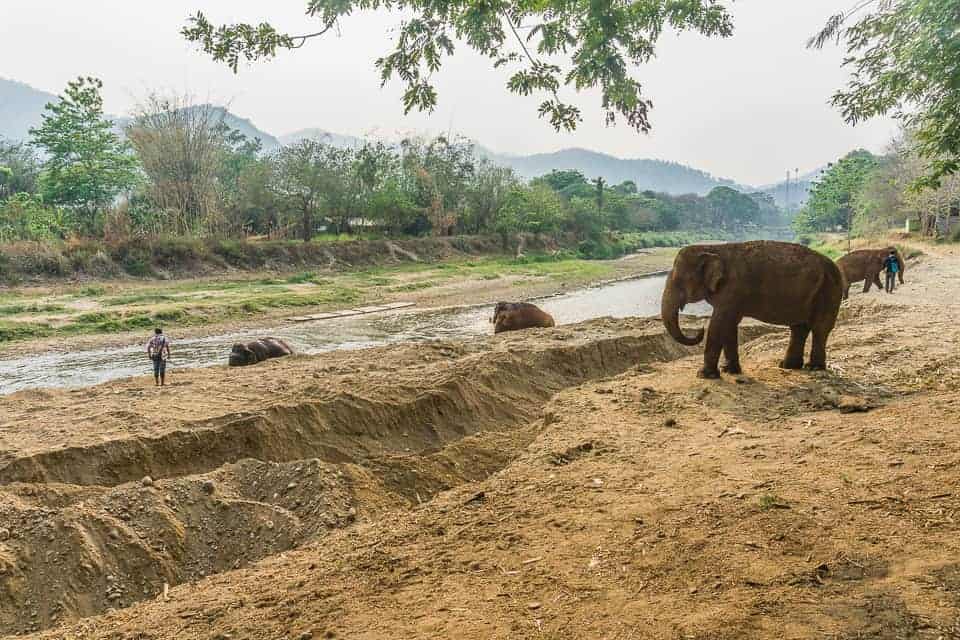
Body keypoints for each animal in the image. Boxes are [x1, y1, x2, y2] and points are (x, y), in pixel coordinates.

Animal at [661, 240, 844, 379]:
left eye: (678, 281)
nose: (700, 330)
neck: (713, 248)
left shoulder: (732, 290)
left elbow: (719, 323)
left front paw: (704, 375)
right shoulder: (733, 298)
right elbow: (729, 325)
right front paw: (730, 371)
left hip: (829, 291)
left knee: (820, 328)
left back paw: (814, 368)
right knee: (799, 328)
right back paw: (788, 366)